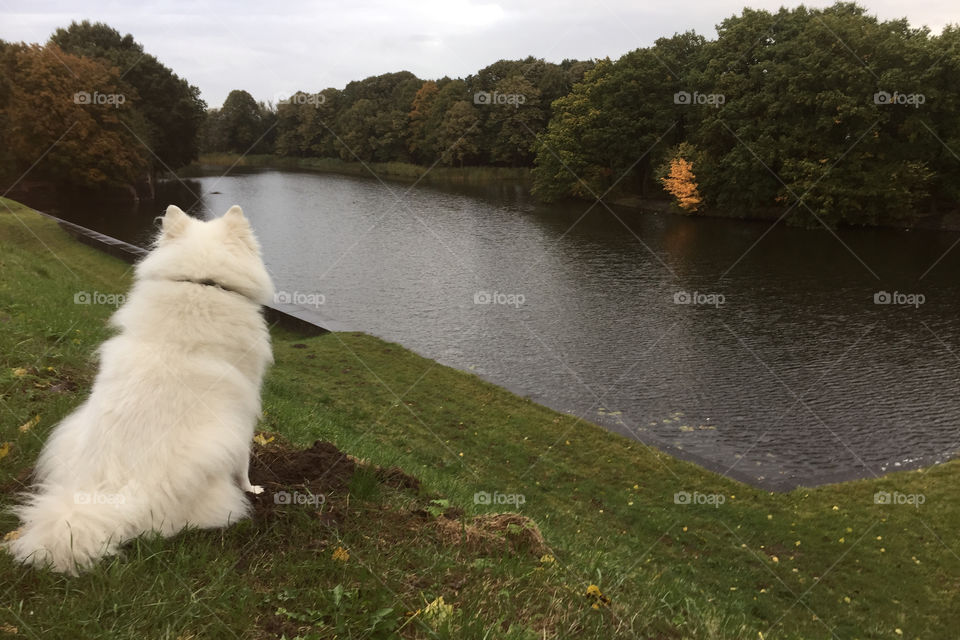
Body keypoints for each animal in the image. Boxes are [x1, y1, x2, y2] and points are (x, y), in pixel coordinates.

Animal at [7, 205, 276, 576]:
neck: (200, 284)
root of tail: (108, 497)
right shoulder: (246, 410)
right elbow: (245, 463)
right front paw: (254, 488)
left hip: (69, 429)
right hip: (215, 445)